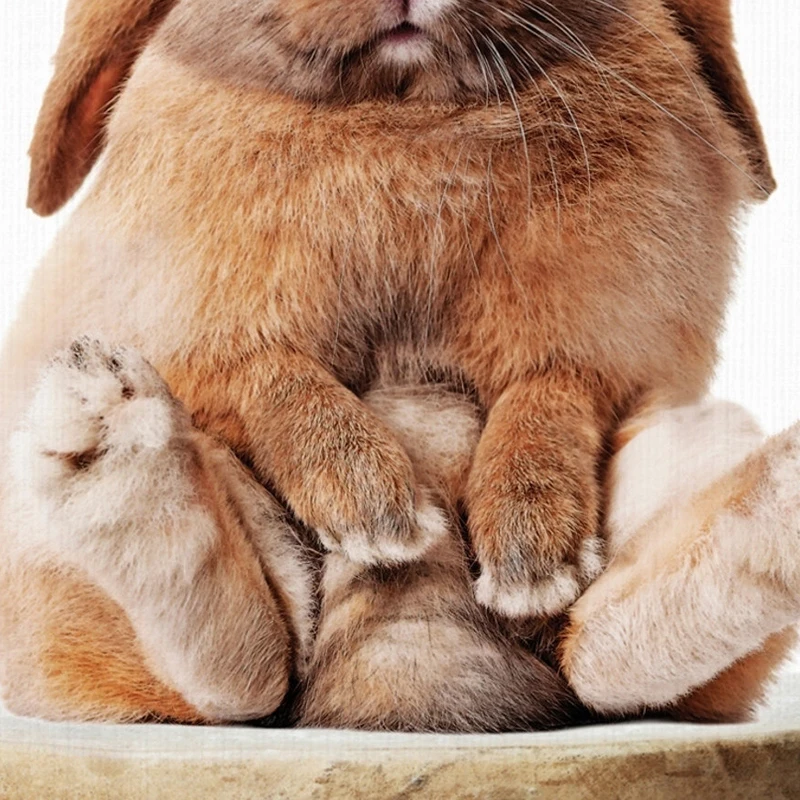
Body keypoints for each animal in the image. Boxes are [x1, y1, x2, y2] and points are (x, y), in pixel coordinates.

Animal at [1, 0, 798, 727]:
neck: (405, 110)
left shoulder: (598, 345)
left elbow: (547, 396)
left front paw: (530, 548)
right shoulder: (201, 324)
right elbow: (274, 377)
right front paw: (374, 508)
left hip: (683, 449)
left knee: (614, 655)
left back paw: (777, 494)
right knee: (240, 676)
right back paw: (103, 430)